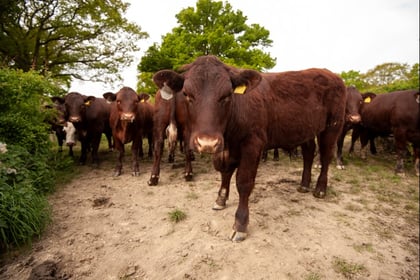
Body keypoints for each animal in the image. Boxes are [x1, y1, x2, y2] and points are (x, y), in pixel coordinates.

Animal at [153, 55, 346, 242]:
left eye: (227, 95)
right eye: (186, 94)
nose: (207, 143)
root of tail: (332, 74)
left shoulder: (253, 144)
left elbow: (243, 182)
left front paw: (240, 224)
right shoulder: (226, 148)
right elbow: (225, 173)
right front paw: (221, 199)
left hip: (332, 126)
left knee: (326, 156)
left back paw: (320, 189)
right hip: (306, 129)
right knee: (308, 153)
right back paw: (304, 185)